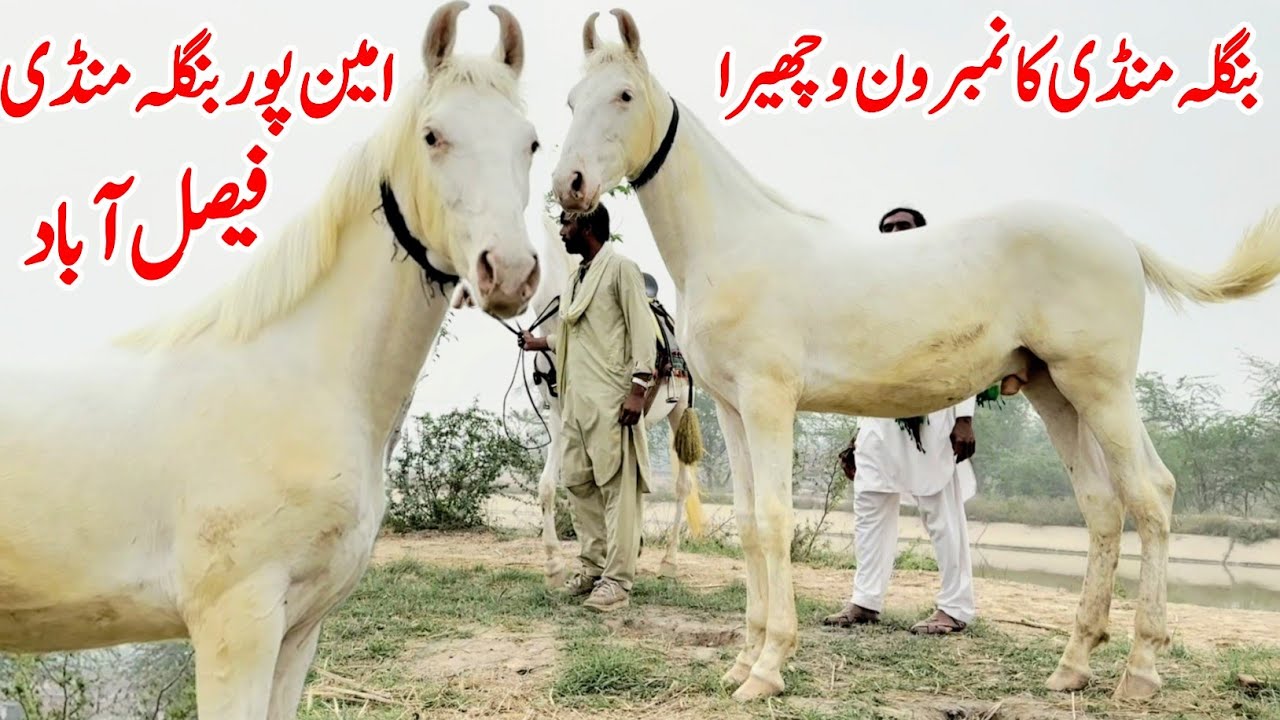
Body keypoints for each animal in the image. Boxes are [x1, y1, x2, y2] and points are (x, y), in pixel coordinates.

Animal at [0, 3, 540, 718]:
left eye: (530, 143)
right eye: (433, 136)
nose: (508, 272)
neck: (298, 382)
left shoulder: (297, 632)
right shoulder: (239, 624)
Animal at [550, 8, 1280, 703]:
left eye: (622, 95)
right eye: (571, 100)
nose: (569, 186)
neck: (734, 244)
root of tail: (1123, 241)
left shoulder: (769, 401)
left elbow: (775, 519)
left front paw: (770, 668)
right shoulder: (732, 409)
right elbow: (754, 525)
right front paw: (741, 662)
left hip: (1100, 386)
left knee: (1151, 495)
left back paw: (1141, 670)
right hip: (1055, 391)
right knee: (1103, 505)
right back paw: (1073, 666)